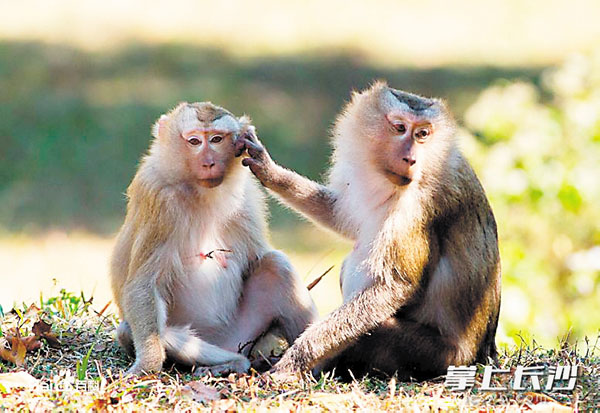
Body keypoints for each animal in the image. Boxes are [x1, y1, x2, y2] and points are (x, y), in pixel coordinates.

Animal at [110, 102, 322, 374]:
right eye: (194, 141)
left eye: (217, 139)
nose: (209, 162)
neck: (200, 190)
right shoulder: (157, 197)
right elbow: (143, 284)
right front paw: (147, 364)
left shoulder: (247, 196)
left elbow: (258, 257)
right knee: (131, 331)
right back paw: (231, 363)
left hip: (245, 334)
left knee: (276, 265)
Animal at [244, 81, 502, 380]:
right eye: (400, 128)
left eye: (422, 134)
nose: (411, 159)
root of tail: (481, 355)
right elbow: (342, 216)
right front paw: (269, 171)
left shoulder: (415, 205)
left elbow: (395, 286)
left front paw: (296, 358)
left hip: (433, 355)